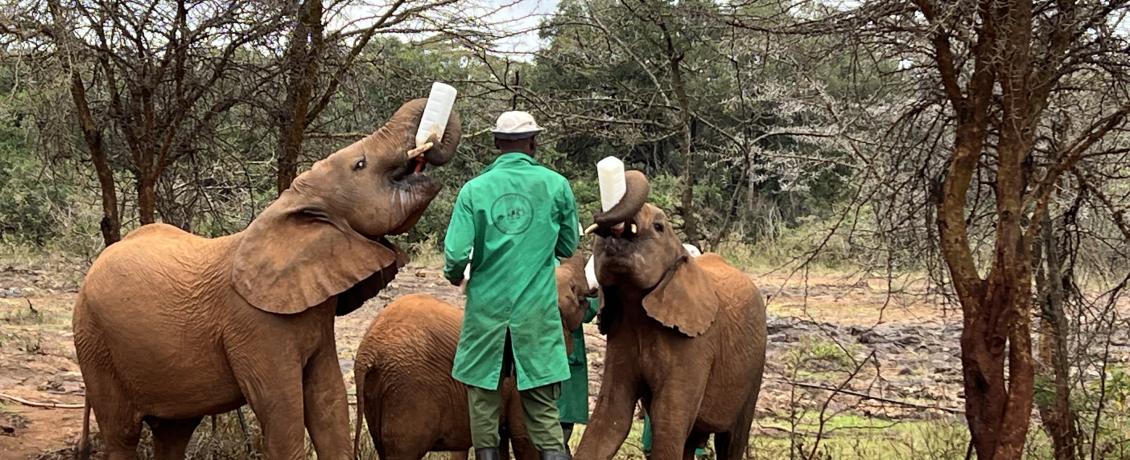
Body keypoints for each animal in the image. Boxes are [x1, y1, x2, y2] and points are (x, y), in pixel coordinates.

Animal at [72, 98, 461, 460]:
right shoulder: (255, 324)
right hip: (94, 342)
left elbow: (329, 402)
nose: (425, 147)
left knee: (173, 431)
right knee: (122, 433)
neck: (291, 207)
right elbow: (282, 412)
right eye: (360, 165)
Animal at [574, 170, 768, 460]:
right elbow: (611, 415)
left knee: (732, 440)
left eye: (658, 227)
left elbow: (668, 419)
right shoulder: (621, 334)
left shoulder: (697, 346)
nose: (604, 220)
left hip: (755, 366)